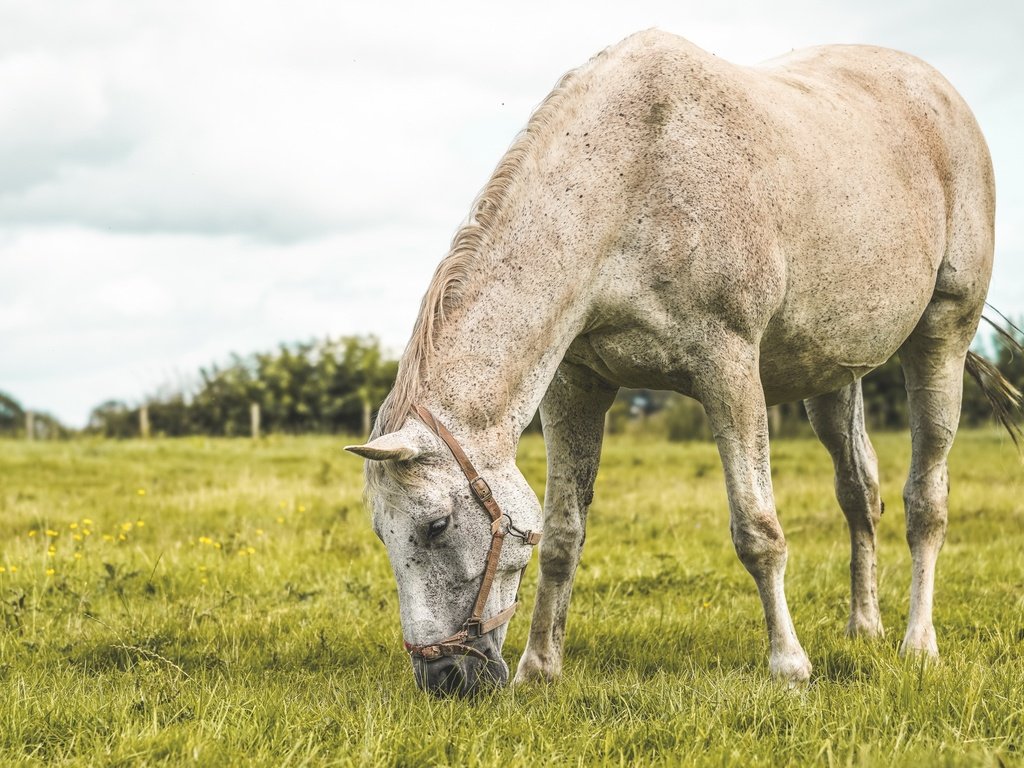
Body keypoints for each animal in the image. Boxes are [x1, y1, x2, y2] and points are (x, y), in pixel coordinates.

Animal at [346, 30, 1015, 700]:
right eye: (381, 533)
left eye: (436, 525)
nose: (444, 678)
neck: (634, 174)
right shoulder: (575, 385)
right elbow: (562, 534)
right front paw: (540, 667)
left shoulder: (729, 368)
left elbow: (758, 531)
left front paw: (789, 666)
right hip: (831, 375)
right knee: (860, 492)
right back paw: (864, 628)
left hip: (941, 340)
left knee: (925, 500)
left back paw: (917, 644)